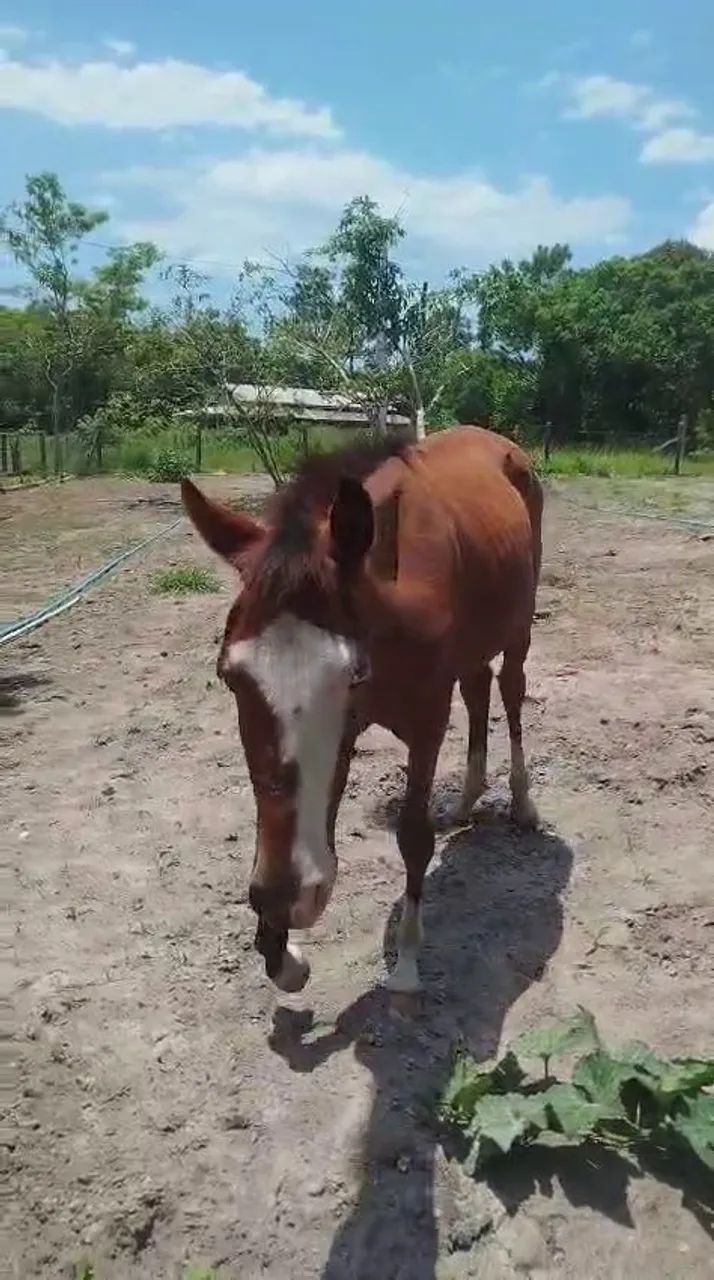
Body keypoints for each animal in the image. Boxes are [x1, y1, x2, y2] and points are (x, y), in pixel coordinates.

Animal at [181, 424, 543, 997]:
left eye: (351, 675)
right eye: (229, 676)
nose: (287, 896)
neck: (393, 603)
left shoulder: (426, 719)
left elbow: (413, 836)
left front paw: (408, 962)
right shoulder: (343, 737)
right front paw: (283, 954)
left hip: (518, 629)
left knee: (508, 691)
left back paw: (522, 805)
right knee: (479, 688)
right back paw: (466, 802)